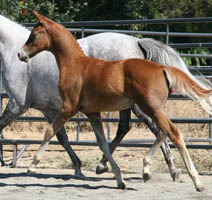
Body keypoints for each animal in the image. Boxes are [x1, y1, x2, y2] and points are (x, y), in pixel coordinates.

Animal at [18, 11, 212, 192]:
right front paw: (118, 178)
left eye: (33, 35)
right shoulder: (92, 113)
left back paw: (196, 181)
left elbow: (50, 131)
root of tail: (162, 68)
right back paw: (147, 169)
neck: (75, 65)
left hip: (149, 107)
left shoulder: (68, 108)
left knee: (172, 132)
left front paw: (32, 166)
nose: (20, 54)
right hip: (152, 108)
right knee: (162, 131)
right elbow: (103, 143)